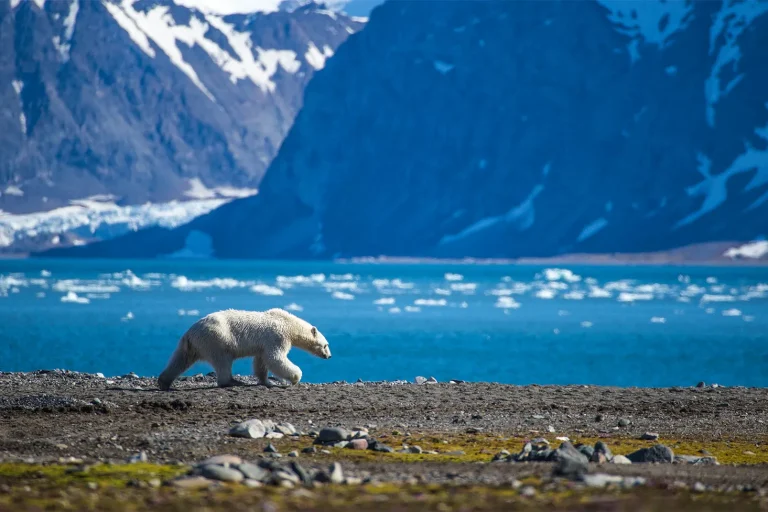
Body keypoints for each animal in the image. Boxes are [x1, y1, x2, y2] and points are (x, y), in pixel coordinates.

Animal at [157, 308, 331, 391]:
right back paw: (234, 381)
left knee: (180, 360)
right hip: (217, 339)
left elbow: (261, 361)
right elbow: (275, 358)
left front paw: (266, 381)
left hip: (191, 345)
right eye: (326, 345)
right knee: (223, 360)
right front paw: (295, 377)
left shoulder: (263, 345)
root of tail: (190, 332)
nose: (329, 356)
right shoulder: (277, 337)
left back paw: (164, 382)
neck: (288, 323)